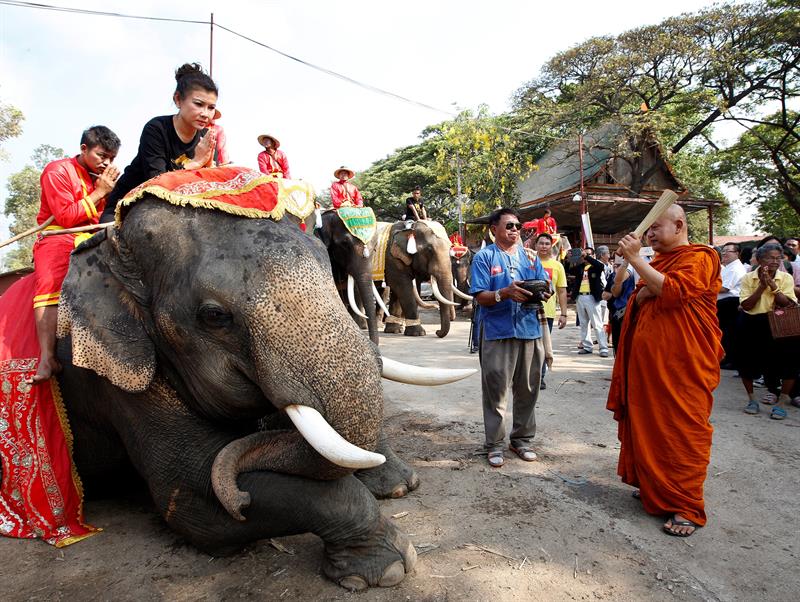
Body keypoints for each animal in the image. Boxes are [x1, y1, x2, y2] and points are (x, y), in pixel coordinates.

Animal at [3, 193, 476, 592]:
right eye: (214, 316)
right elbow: (193, 495)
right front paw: (387, 567)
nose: (240, 496)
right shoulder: (115, 376)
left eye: (328, 269)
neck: (109, 249)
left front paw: (398, 487)